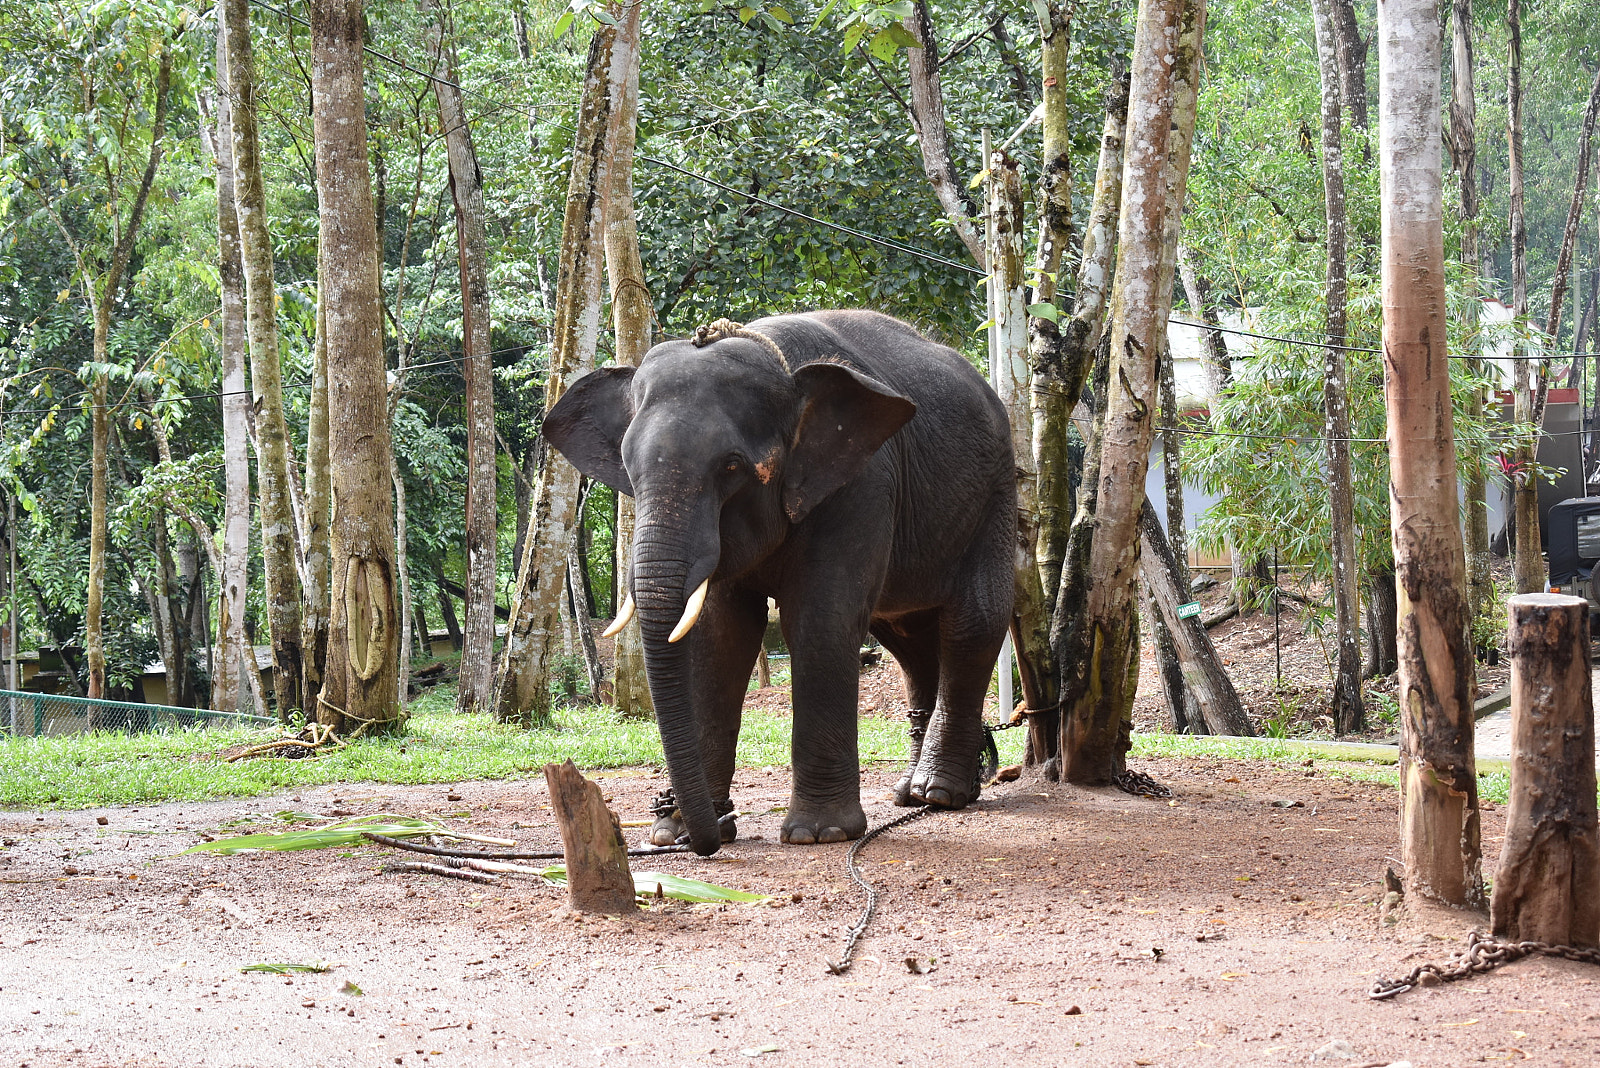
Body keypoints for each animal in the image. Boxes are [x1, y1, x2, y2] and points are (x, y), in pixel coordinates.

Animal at [544, 310, 1015, 856]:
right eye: (627, 466)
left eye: (731, 466)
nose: (701, 837)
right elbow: (720, 637)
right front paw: (676, 830)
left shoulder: (862, 483)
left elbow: (820, 621)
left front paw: (820, 833)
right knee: (908, 641)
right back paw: (910, 794)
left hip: (997, 494)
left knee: (974, 621)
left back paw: (939, 794)